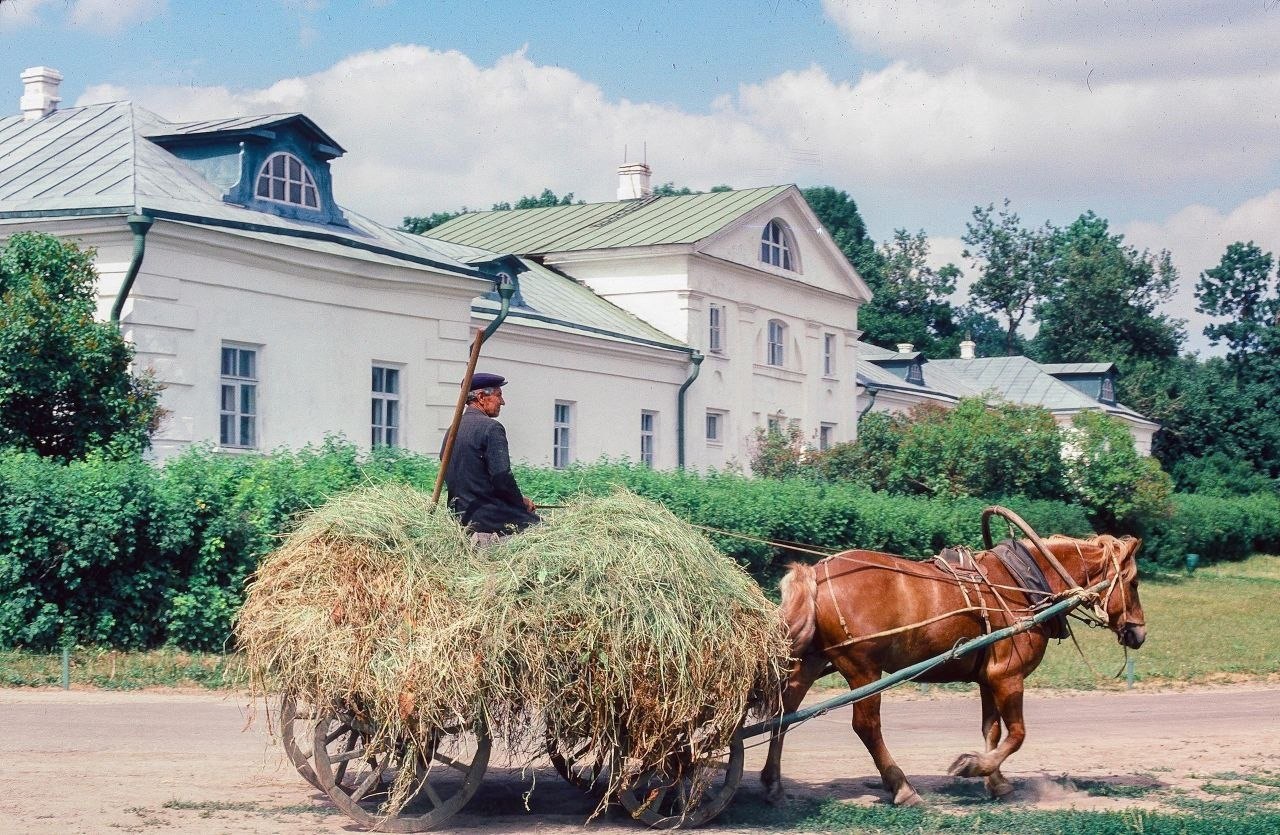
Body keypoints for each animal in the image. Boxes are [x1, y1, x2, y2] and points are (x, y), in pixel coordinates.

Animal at [757, 532, 1152, 804]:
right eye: (1133, 582)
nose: (1139, 633)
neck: (1022, 585)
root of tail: (815, 572)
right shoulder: (1008, 677)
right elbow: (1018, 734)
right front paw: (974, 766)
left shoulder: (988, 679)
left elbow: (992, 730)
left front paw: (996, 781)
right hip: (863, 670)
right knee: (866, 727)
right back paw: (902, 787)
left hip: (810, 660)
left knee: (783, 712)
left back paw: (773, 782)